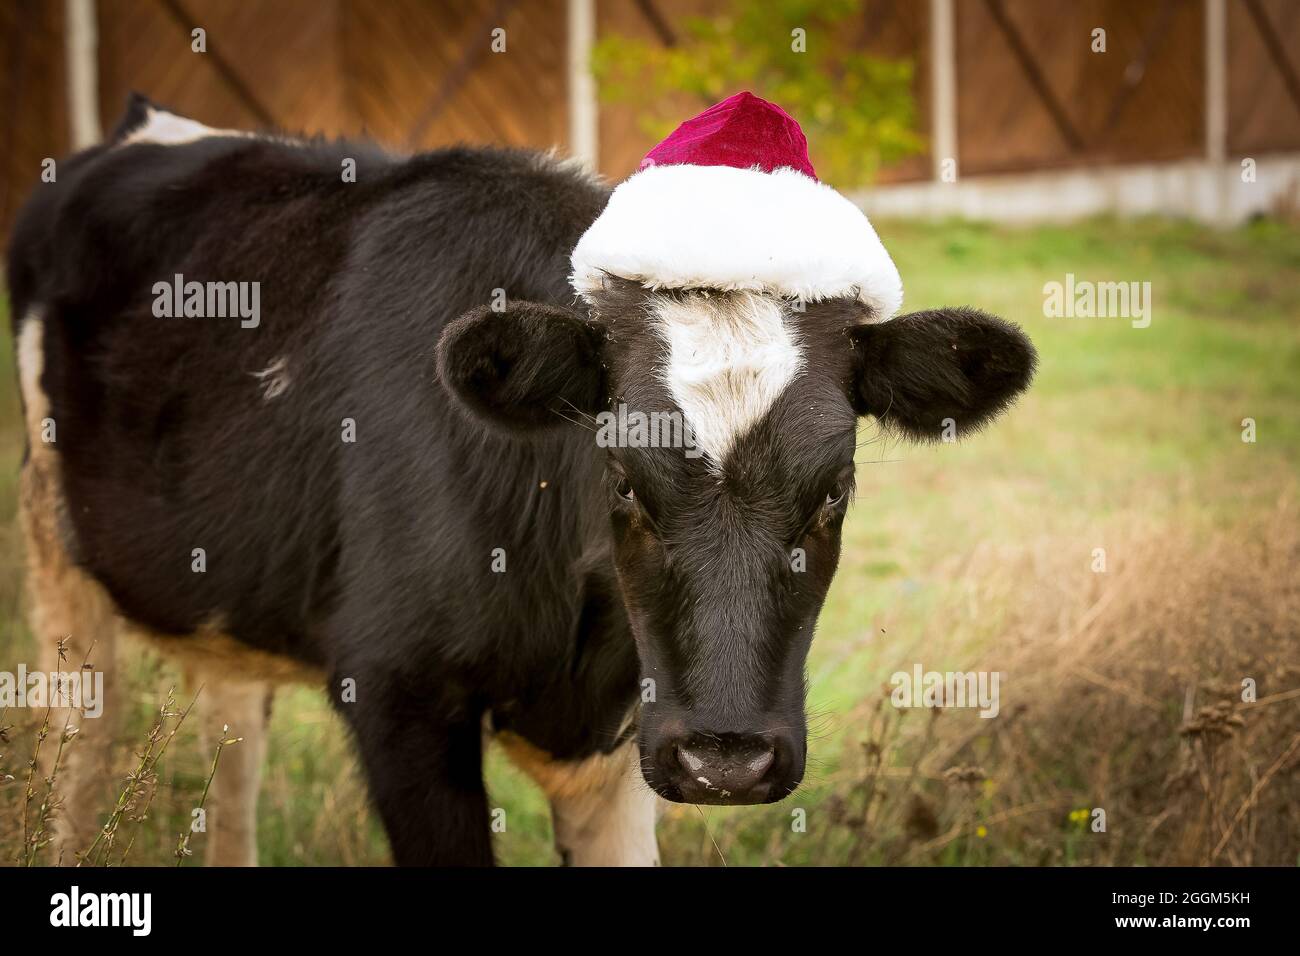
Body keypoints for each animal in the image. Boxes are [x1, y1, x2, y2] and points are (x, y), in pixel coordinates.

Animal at [2, 95, 1034, 868]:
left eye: (834, 491)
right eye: (620, 480)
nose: (727, 762)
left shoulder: (627, 742)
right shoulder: (397, 698)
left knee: (233, 743)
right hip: (56, 559)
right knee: (80, 753)